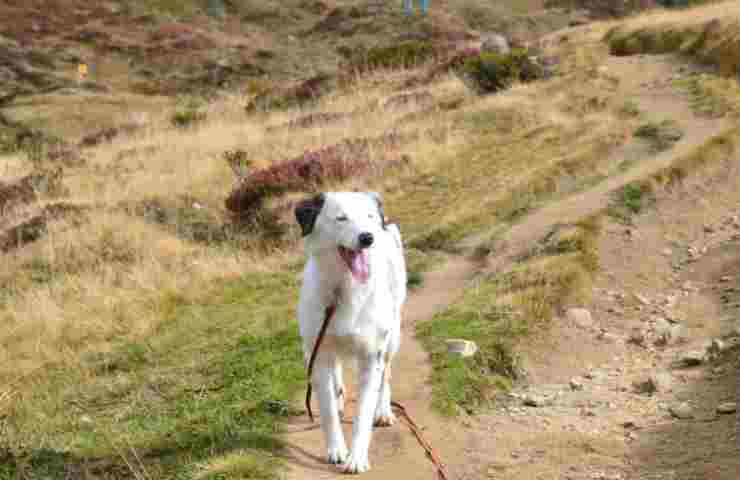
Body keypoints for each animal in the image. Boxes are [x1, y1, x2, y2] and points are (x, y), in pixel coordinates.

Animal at [294, 190, 408, 472]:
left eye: (369, 217)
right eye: (341, 218)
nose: (367, 238)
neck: (343, 289)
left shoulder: (370, 356)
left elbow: (364, 413)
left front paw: (357, 457)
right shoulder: (319, 353)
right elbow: (327, 410)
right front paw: (336, 449)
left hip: (392, 337)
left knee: (386, 374)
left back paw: (384, 411)